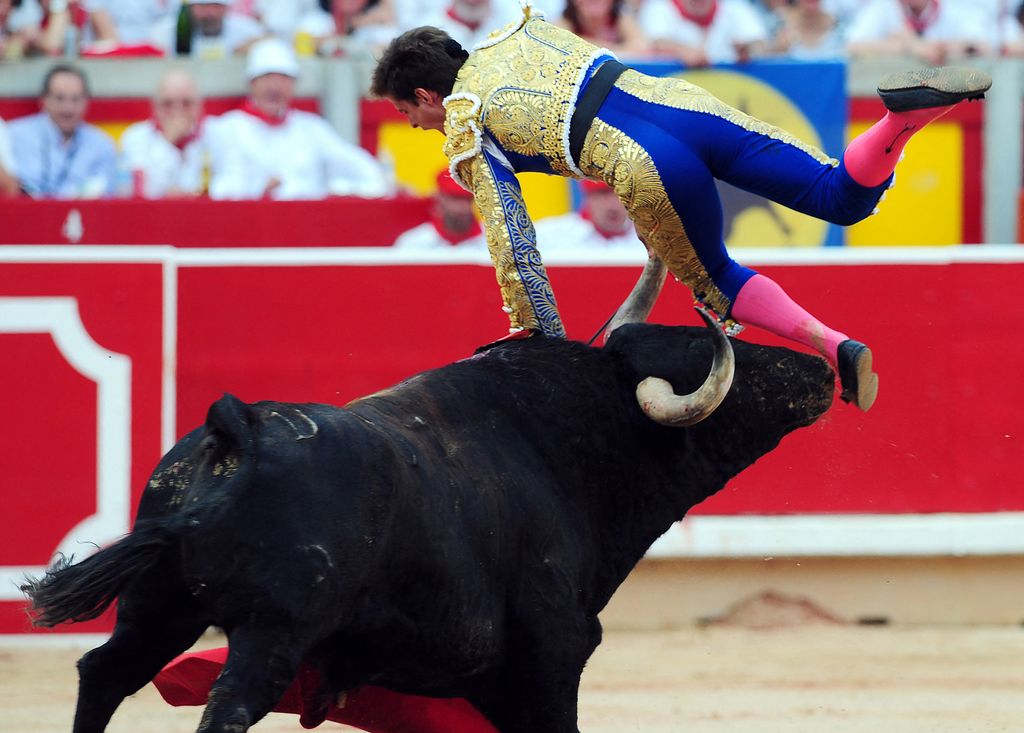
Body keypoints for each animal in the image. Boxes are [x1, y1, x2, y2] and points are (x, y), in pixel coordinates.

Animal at [22, 325, 831, 733]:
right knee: (224, 710)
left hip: (158, 608)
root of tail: (236, 428)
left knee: (103, 674)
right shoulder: (552, 657)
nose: (820, 369)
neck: (566, 442)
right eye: (713, 354)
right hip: (271, 633)